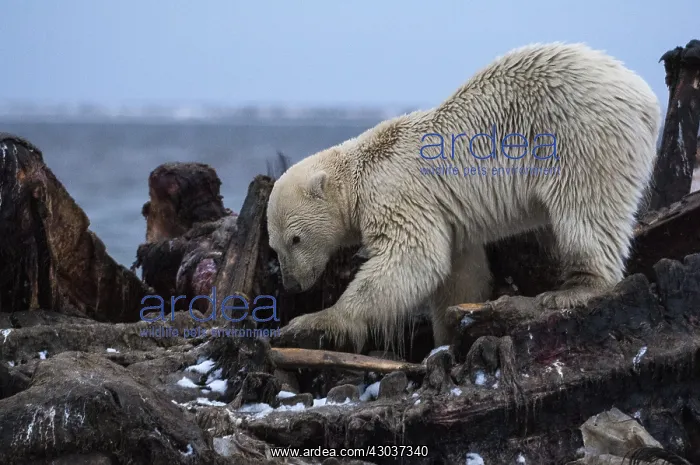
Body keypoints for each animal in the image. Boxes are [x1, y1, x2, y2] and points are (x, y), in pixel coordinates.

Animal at [266, 42, 661, 353]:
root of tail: (644, 96)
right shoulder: (444, 213)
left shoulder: (397, 192)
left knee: (585, 208)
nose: (292, 284)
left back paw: (576, 289)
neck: (359, 170)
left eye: (295, 238)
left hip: (579, 136)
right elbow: (457, 271)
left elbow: (412, 257)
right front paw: (447, 333)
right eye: (274, 245)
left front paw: (316, 320)